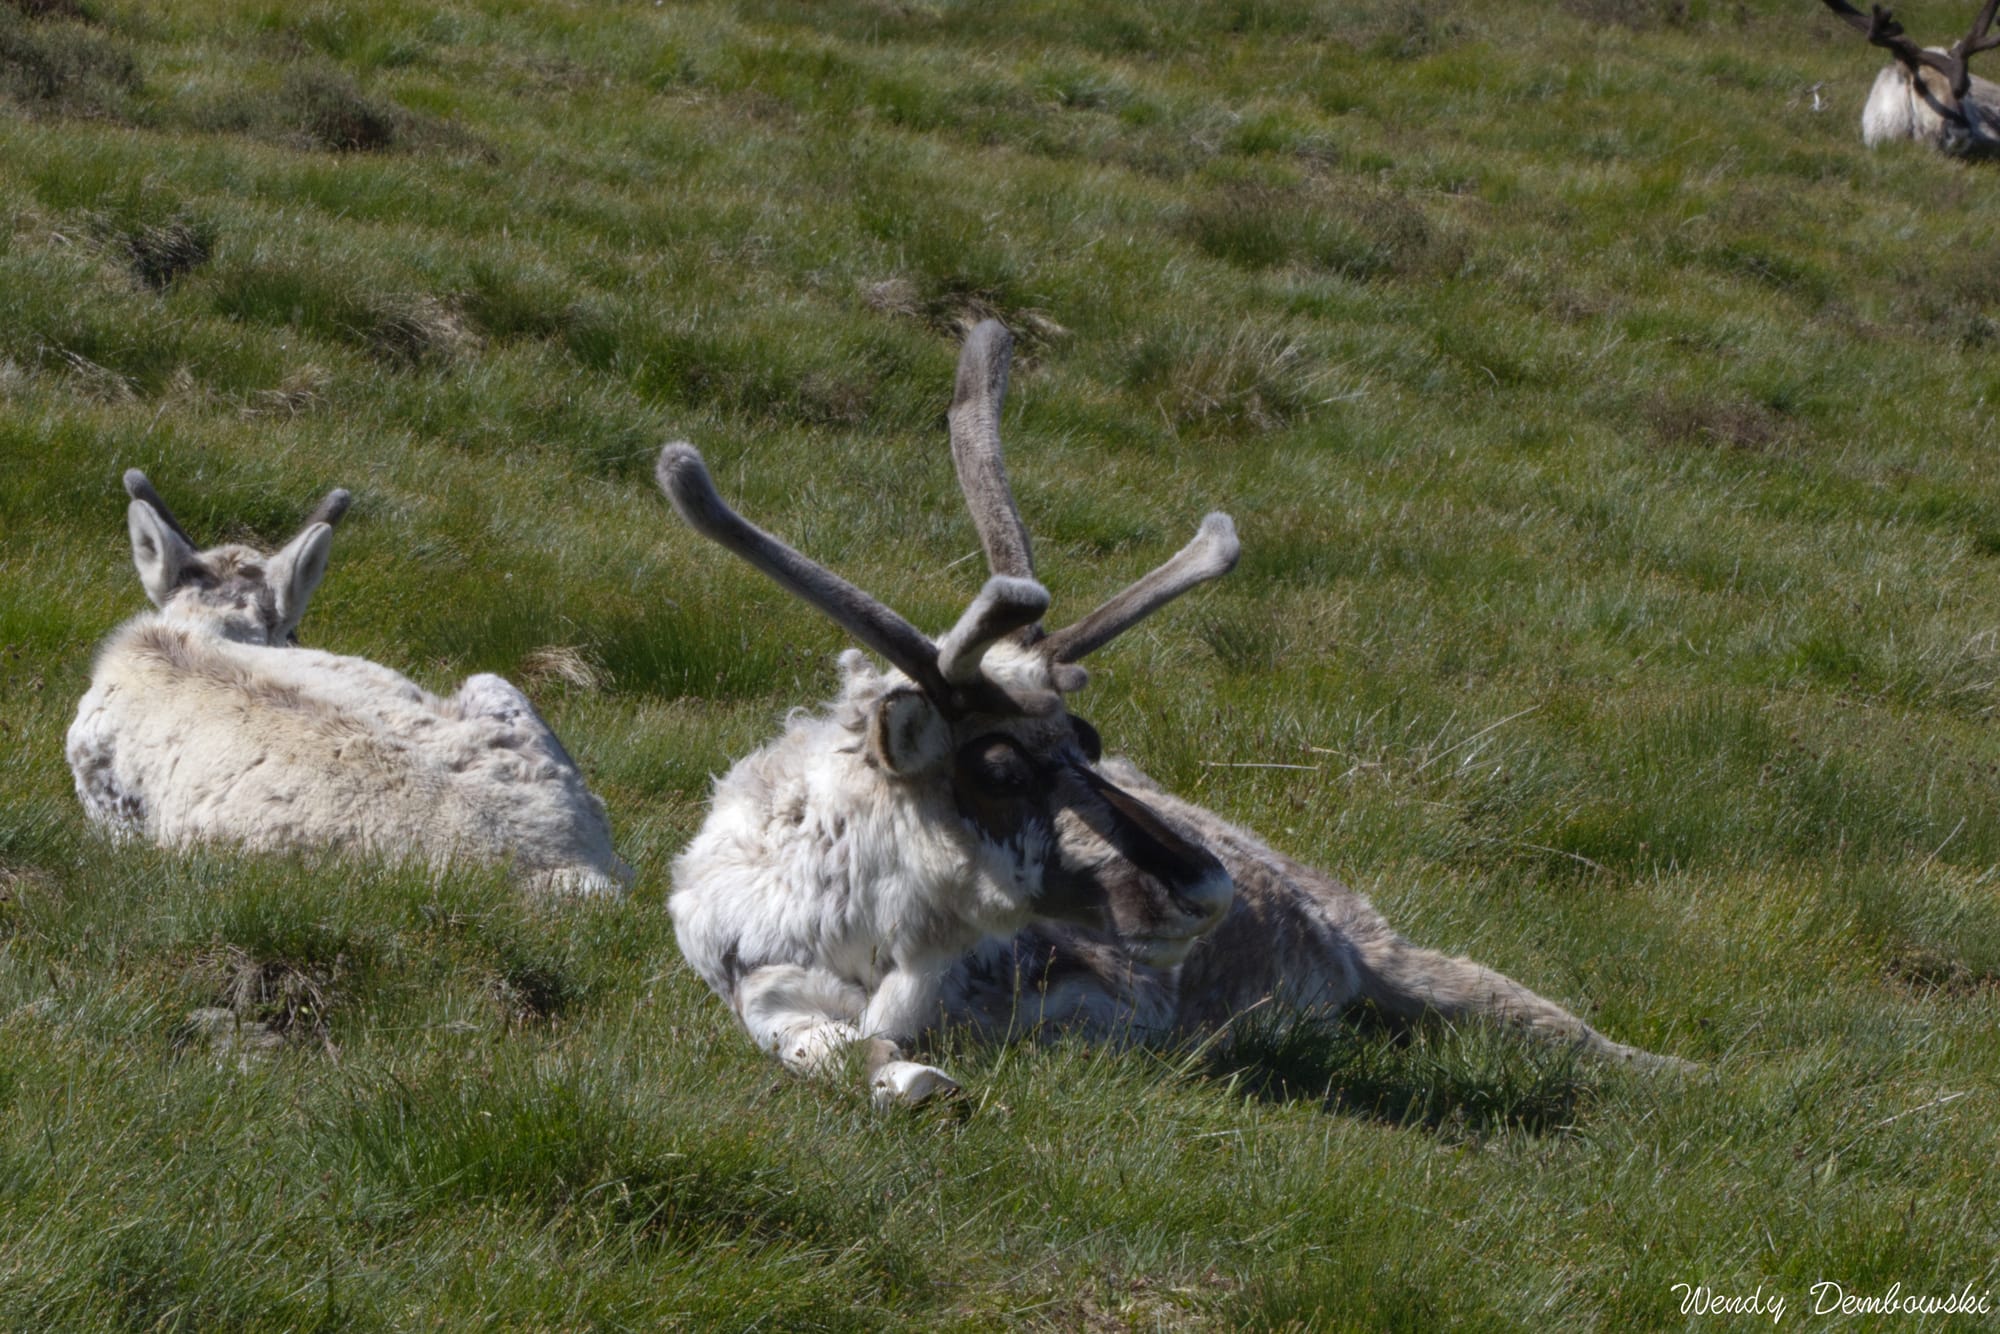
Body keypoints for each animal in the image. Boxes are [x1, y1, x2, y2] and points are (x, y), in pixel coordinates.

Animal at [658, 321, 1683, 1109]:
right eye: (998, 767)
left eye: (1089, 739)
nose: (1210, 889)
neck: (874, 933)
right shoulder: (762, 989)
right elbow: (828, 1052)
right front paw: (911, 1080)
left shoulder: (1116, 1000)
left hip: (1403, 956)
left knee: (1565, 1028)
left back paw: (1690, 1073)